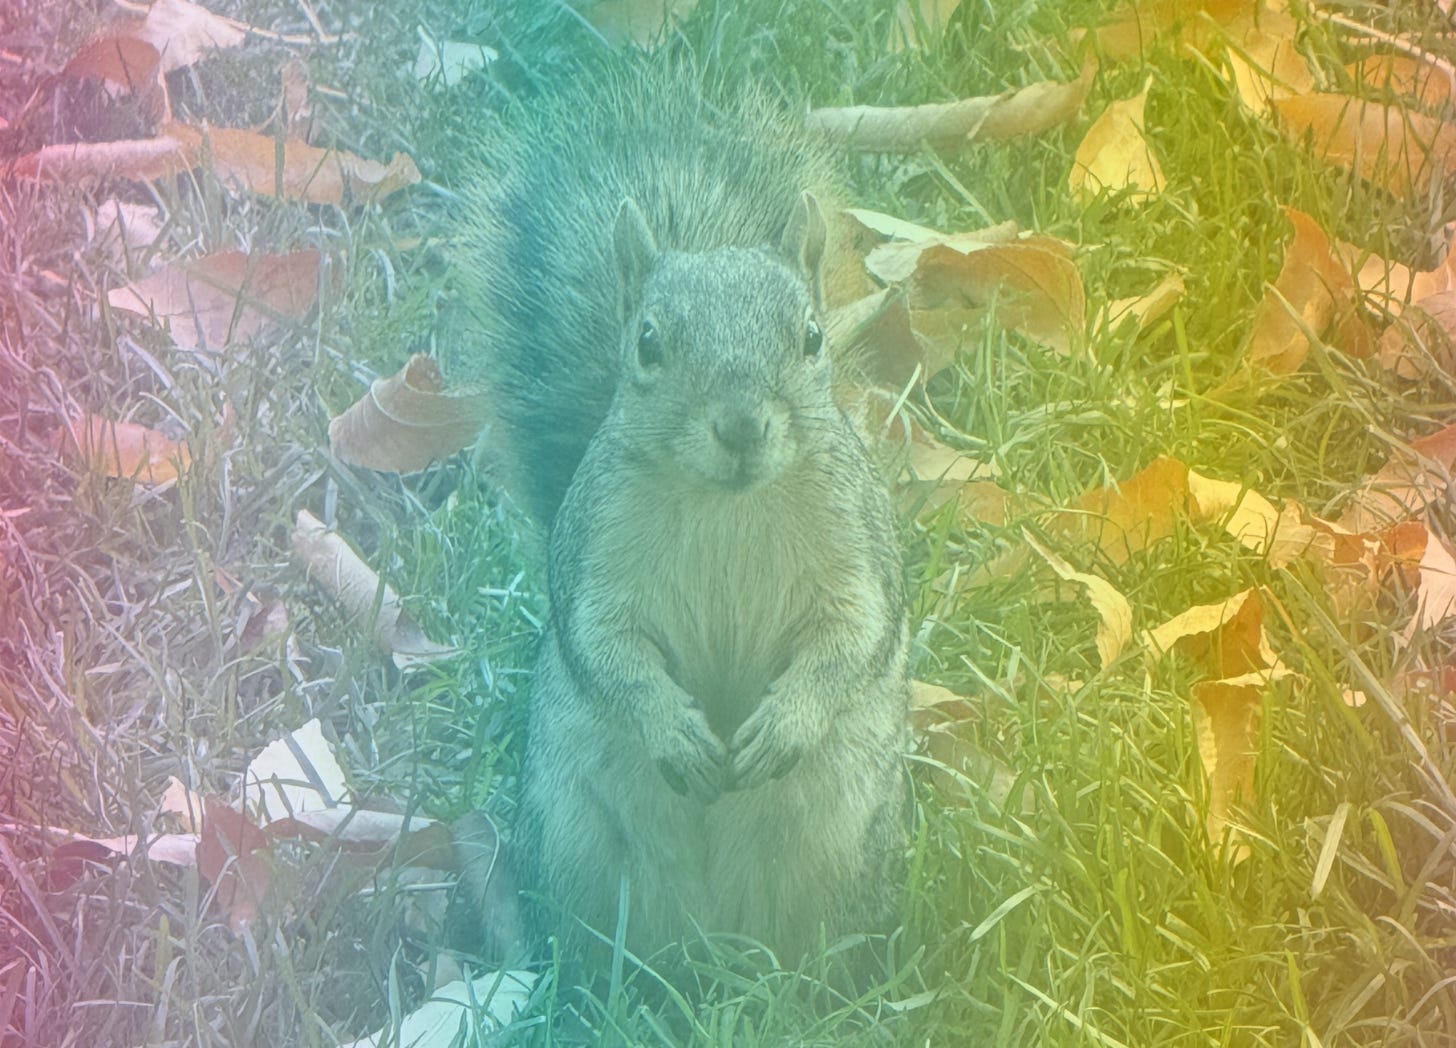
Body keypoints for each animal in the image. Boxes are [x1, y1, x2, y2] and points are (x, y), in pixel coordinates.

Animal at [454, 67, 908, 966]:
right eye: (648, 342)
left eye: (812, 337)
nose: (740, 427)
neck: (725, 505)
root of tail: (715, 943)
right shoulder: (596, 555)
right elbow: (607, 649)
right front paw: (671, 730)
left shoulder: (858, 544)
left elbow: (854, 636)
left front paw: (785, 725)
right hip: (572, 841)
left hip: (849, 845)